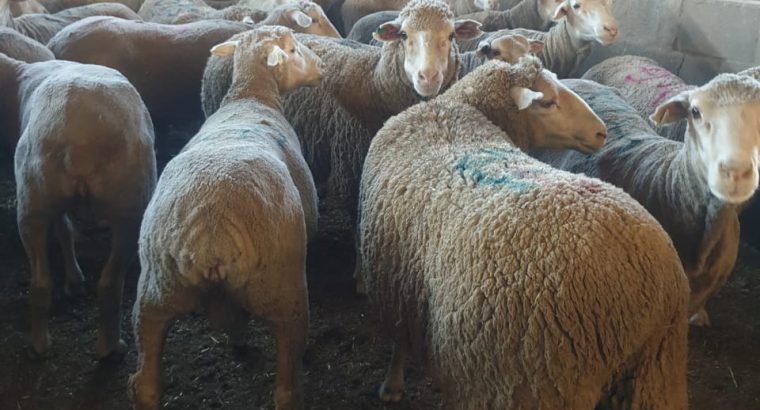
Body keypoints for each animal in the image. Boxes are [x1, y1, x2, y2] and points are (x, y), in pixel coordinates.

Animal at [0, 52, 157, 358]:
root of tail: (80, 141)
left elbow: (64, 231)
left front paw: (73, 279)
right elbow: (66, 231)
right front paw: (75, 279)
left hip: (33, 200)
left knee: (40, 283)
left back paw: (41, 344)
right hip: (130, 207)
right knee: (108, 284)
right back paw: (111, 348)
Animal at [128, 26, 320, 410]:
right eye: (294, 50)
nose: (321, 66)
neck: (250, 98)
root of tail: (210, 230)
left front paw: (238, 341)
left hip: (155, 291)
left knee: (146, 382)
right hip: (283, 290)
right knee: (285, 386)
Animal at [202, 0, 482, 259]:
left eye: (451, 35)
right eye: (403, 35)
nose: (428, 78)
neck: (374, 83)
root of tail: (237, 39)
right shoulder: (352, 173)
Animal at [358, 58, 688, 409]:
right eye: (546, 102)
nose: (601, 132)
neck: (455, 111)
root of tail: (649, 282)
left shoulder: (398, 282)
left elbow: (399, 341)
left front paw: (391, 386)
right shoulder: (400, 281)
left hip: (541, 380)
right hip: (656, 369)